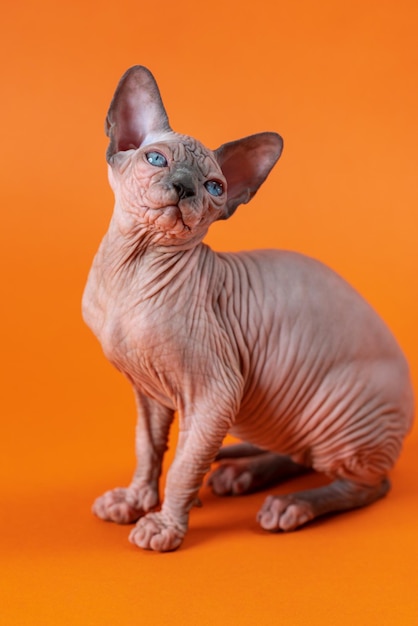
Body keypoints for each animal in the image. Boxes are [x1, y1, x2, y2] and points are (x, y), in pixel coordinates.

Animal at [82, 64, 414, 552]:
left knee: (368, 483)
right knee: (301, 455)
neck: (131, 271)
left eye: (214, 187)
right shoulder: (147, 390)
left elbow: (183, 465)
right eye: (156, 160)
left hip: (337, 413)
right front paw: (134, 499)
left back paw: (291, 504)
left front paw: (164, 526)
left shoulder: (215, 393)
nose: (183, 187)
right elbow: (149, 449)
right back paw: (242, 475)